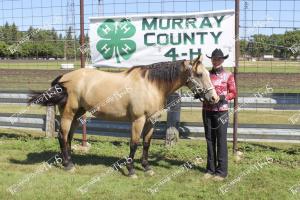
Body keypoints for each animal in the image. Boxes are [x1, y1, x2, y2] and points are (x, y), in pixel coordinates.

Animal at [29, 55, 219, 178]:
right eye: (200, 74)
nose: (214, 98)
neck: (151, 85)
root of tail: (64, 77)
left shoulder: (151, 121)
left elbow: (146, 144)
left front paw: (147, 168)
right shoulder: (138, 120)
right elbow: (134, 144)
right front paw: (131, 170)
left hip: (78, 114)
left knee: (68, 137)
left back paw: (69, 161)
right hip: (68, 113)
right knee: (62, 136)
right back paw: (68, 165)